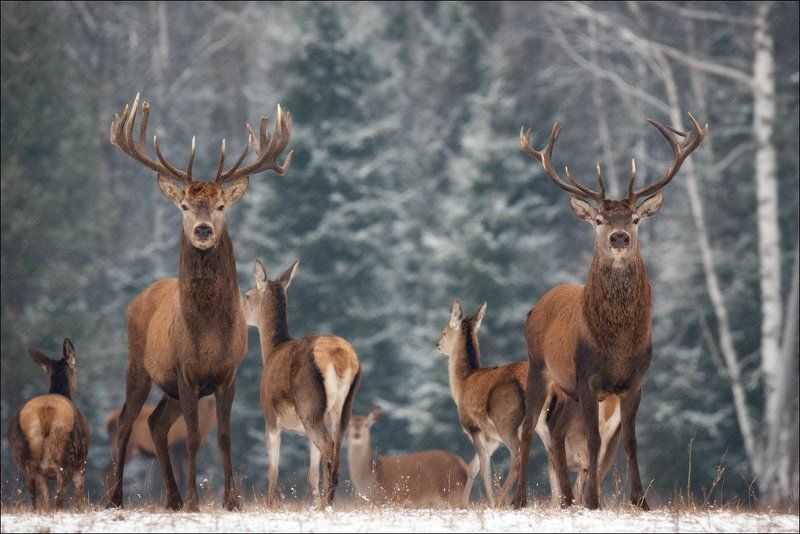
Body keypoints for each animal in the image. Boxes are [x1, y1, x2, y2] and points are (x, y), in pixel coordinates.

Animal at [8, 339, 90, 511]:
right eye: (76, 371)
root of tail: (44, 411)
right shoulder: (82, 464)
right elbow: (79, 499)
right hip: (65, 454)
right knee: (59, 498)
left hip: (22, 455)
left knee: (35, 497)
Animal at [106, 93, 293, 512]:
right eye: (184, 207)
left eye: (221, 206)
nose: (203, 230)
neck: (207, 334)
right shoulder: (186, 371)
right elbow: (192, 437)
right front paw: (195, 500)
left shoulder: (228, 373)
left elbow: (224, 437)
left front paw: (231, 500)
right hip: (139, 364)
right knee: (127, 420)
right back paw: (117, 498)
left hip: (170, 387)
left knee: (156, 422)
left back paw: (172, 498)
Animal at [243, 259, 361, 508]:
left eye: (247, 295)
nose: (239, 309)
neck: (270, 352)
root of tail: (339, 357)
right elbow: (311, 473)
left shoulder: (270, 417)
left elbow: (273, 471)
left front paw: (270, 505)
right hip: (344, 407)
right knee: (336, 451)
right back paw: (326, 503)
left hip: (310, 406)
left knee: (328, 447)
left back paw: (326, 503)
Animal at [512, 113, 707, 510]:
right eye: (600, 221)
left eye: (635, 218)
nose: (619, 237)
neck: (616, 345)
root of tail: (537, 305)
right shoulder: (587, 378)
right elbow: (593, 441)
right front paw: (593, 501)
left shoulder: (634, 381)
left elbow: (630, 442)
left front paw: (640, 501)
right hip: (541, 367)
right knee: (528, 429)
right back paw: (521, 499)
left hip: (566, 388)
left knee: (556, 430)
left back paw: (566, 499)